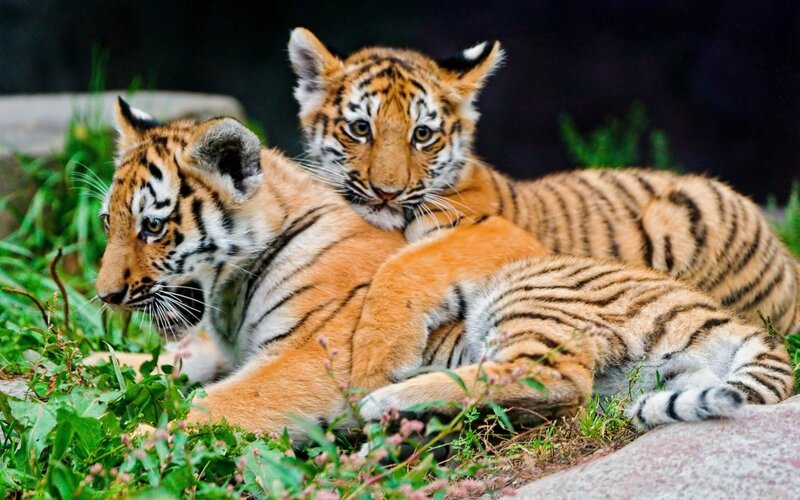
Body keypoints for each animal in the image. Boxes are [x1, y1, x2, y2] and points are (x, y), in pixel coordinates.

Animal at [93, 99, 792, 439]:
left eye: (153, 227)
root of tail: (724, 320)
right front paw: (95, 362)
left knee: (555, 379)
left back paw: (390, 401)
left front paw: (138, 443)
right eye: (108, 224)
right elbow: (171, 358)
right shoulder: (224, 346)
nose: (105, 296)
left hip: (530, 292)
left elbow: (226, 402)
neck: (228, 289)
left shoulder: (312, 356)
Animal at [287, 28, 800, 348]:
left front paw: (375, 355)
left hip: (686, 210)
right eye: (360, 128)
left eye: (423, 135)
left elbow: (406, 267)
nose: (387, 192)